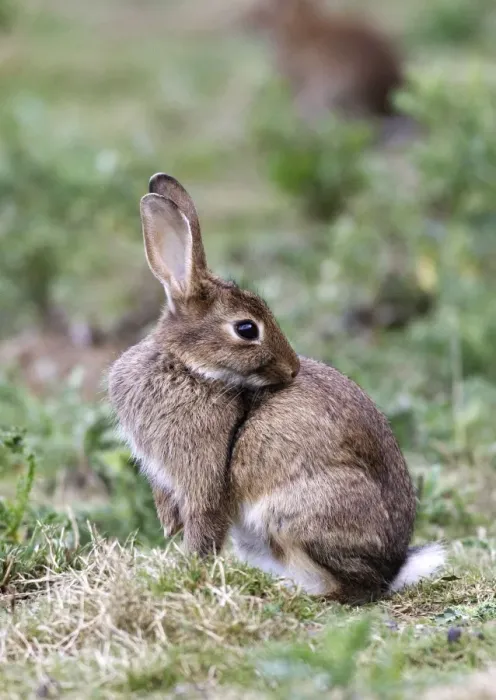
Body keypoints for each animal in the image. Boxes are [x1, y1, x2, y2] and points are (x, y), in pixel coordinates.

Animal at [108, 173, 445, 603]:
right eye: (246, 328)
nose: (292, 368)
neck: (189, 367)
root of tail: (394, 569)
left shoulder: (203, 477)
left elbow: (204, 525)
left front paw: (190, 571)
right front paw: (170, 529)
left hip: (292, 514)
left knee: (352, 587)